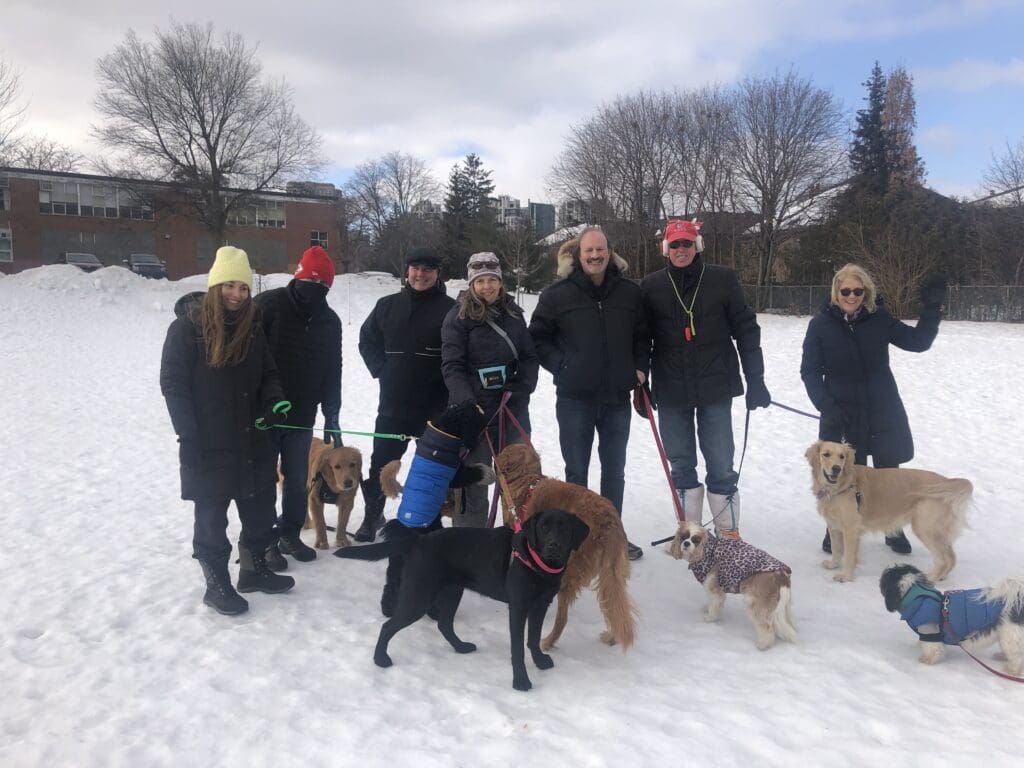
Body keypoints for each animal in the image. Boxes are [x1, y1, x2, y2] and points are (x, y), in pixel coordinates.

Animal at [806, 438, 966, 581]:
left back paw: (929, 579)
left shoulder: (851, 529)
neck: (841, 487)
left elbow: (850, 556)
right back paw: (941, 577)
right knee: (952, 557)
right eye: (826, 454)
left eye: (842, 456)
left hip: (925, 528)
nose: (836, 469)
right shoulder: (834, 526)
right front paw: (833, 564)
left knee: (942, 560)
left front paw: (845, 576)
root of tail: (946, 481)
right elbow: (836, 549)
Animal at [880, 561, 1024, 675]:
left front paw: (926, 660)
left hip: (1010, 636)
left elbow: (933, 650)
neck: (916, 596)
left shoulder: (930, 630)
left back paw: (1011, 670)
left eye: (883, 581)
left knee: (1017, 657)